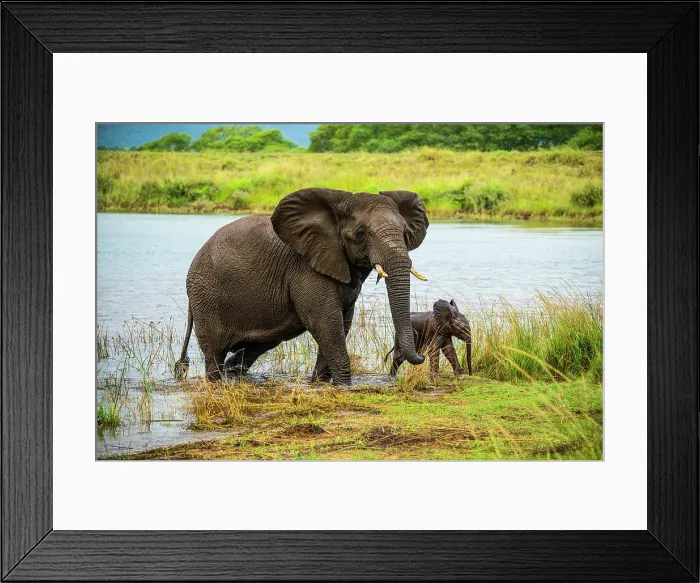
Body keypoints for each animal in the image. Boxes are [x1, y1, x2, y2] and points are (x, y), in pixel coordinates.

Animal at [174, 187, 430, 385]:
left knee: (256, 347)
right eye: (361, 234)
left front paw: (320, 384)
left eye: (405, 232)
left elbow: (342, 323)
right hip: (206, 296)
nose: (421, 356)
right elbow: (326, 322)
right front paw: (345, 386)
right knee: (214, 352)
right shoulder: (306, 269)